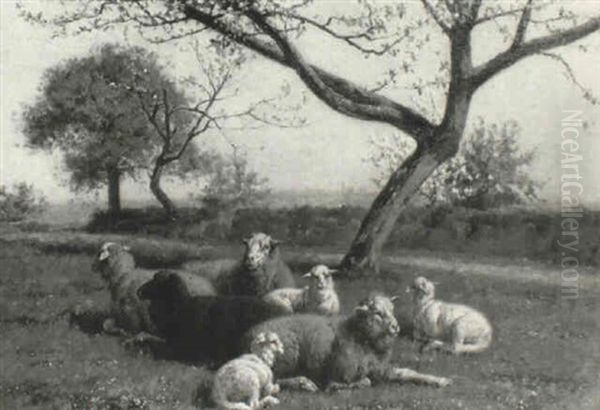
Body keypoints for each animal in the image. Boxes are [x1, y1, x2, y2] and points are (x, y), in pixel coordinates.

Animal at [241, 294, 452, 392]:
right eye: (377, 313)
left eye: (392, 309)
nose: (396, 327)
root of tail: (249, 333)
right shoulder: (339, 374)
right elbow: (363, 382)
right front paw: (335, 388)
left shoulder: (382, 370)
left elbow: (409, 372)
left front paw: (440, 380)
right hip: (284, 356)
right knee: (273, 379)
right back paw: (304, 383)